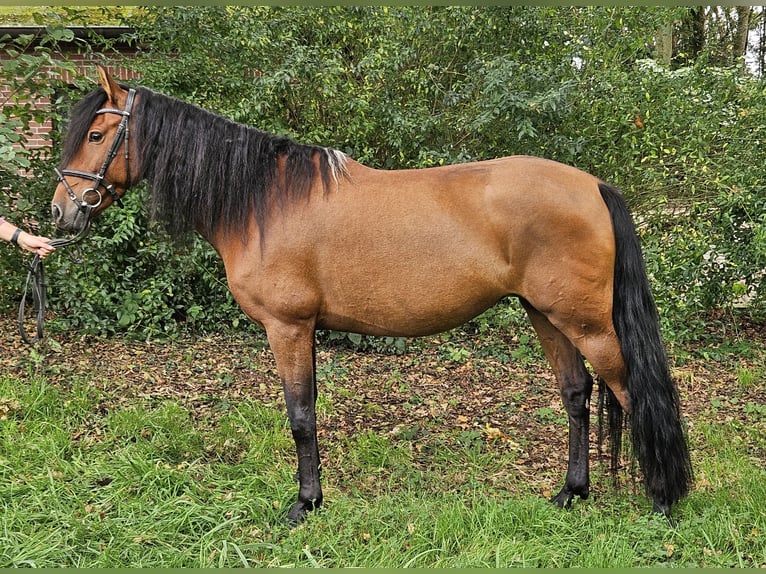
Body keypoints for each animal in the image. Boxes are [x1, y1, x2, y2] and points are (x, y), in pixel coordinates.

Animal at [51, 66, 692, 528]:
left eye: (97, 135)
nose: (61, 213)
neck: (263, 201)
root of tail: (594, 185)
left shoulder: (288, 326)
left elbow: (300, 415)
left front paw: (304, 505)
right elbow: (307, 412)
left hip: (587, 322)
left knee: (632, 392)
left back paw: (663, 502)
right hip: (547, 314)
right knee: (576, 395)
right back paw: (570, 493)